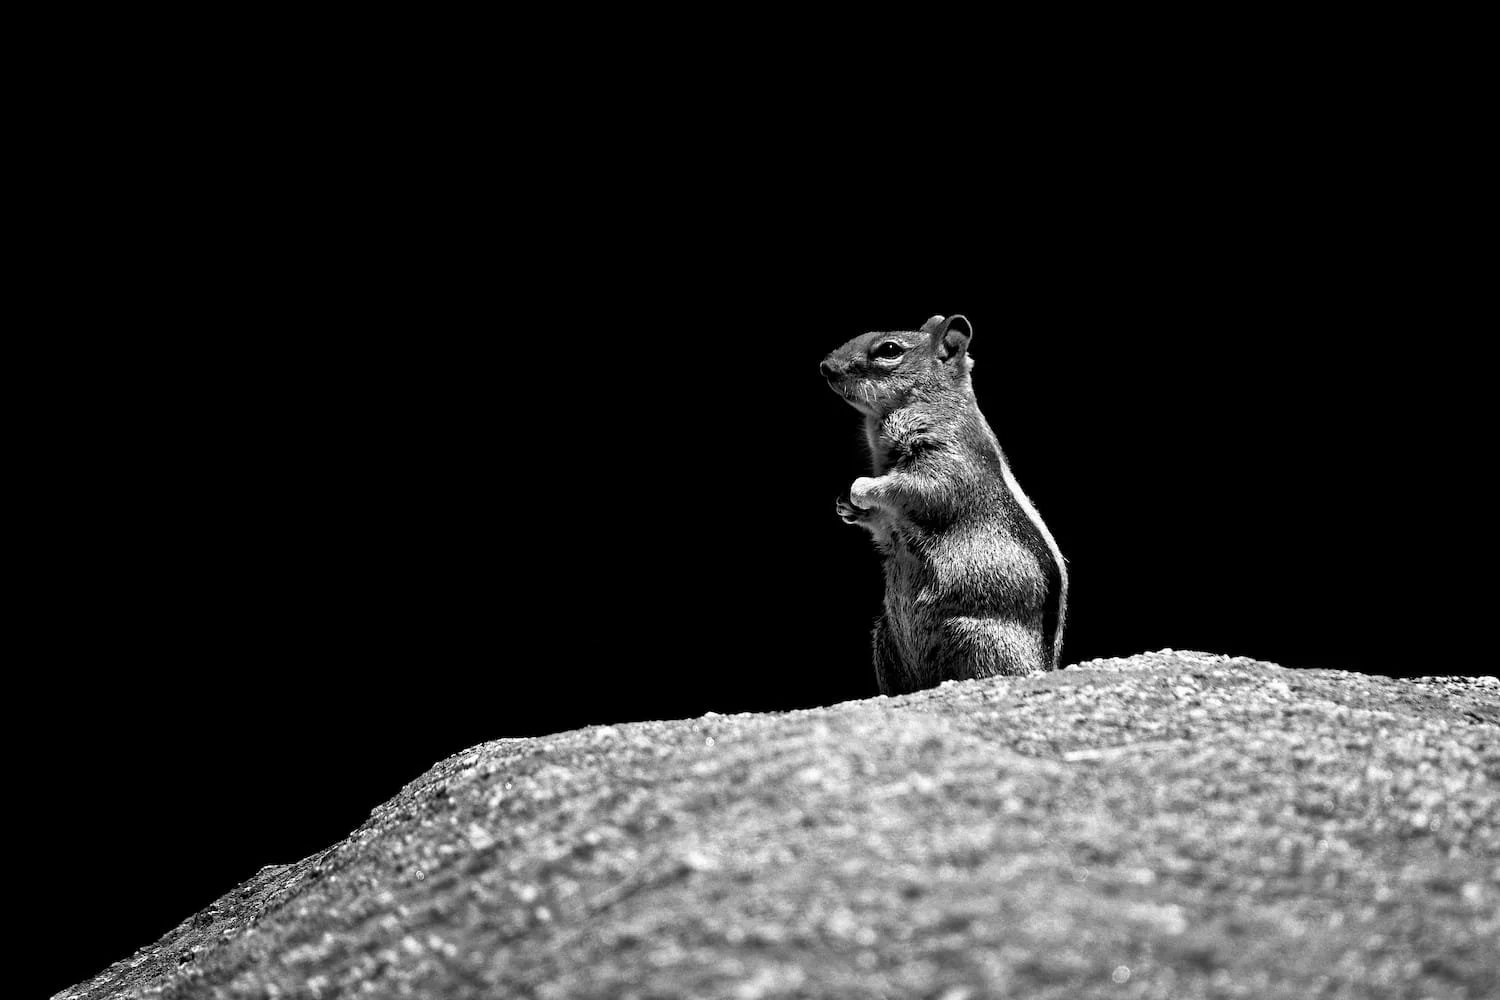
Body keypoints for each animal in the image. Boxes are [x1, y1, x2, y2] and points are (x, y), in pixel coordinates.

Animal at [820, 314, 1068, 695]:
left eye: (889, 349)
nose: (825, 366)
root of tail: (1044, 667)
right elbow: (883, 522)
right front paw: (847, 506)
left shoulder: (946, 463)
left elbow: (915, 486)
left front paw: (861, 488)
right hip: (884, 637)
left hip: (974, 637)